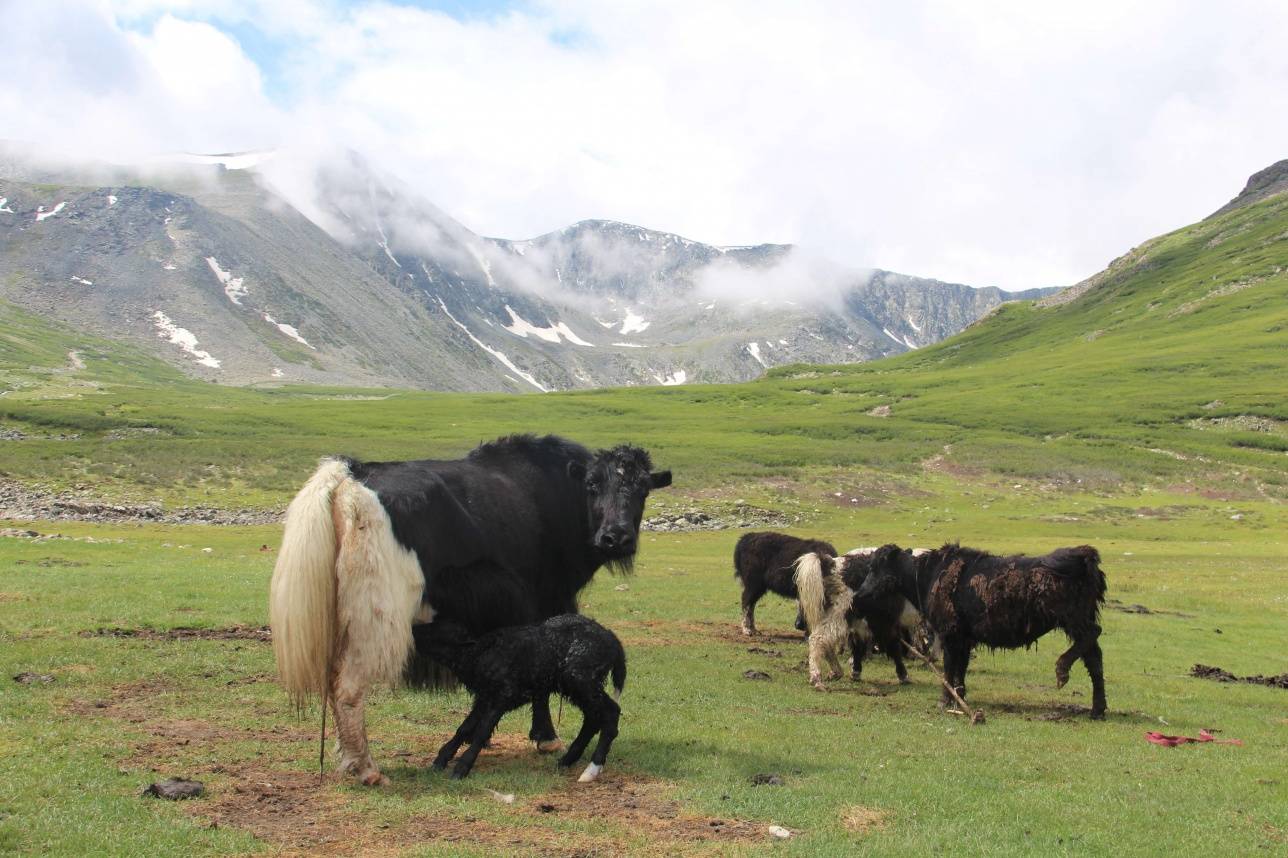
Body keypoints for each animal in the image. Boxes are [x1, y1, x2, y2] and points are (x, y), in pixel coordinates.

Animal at [414, 610, 625, 778]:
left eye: (437, 630)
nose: (413, 628)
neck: (479, 653)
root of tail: (613, 640)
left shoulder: (503, 695)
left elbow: (482, 731)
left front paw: (461, 768)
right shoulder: (484, 697)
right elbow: (465, 728)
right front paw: (441, 760)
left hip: (580, 678)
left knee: (611, 712)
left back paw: (592, 769)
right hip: (576, 686)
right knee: (592, 718)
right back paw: (566, 760)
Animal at [855, 541, 1107, 716]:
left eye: (876, 568)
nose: (858, 596)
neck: (928, 575)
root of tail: (1083, 555)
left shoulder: (949, 634)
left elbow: (949, 667)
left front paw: (944, 700)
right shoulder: (964, 638)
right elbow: (961, 668)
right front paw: (959, 697)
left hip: (1073, 619)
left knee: (1093, 636)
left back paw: (1062, 670)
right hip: (1079, 619)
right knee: (1094, 659)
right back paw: (1098, 709)